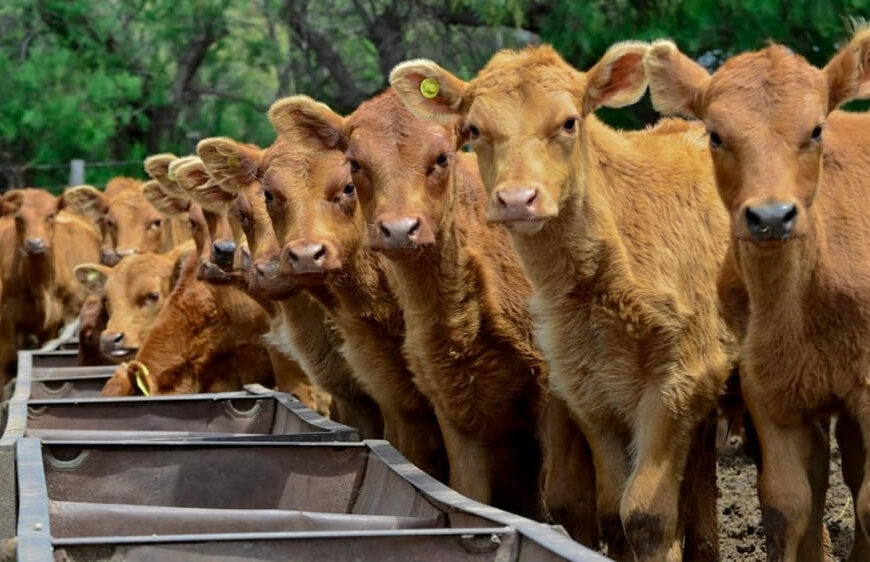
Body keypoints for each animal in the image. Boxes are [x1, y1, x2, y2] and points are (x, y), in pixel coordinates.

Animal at [0, 187, 102, 376]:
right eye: (19, 218)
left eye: (50, 215)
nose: (35, 243)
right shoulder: (6, 318)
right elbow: (7, 359)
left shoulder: (52, 324)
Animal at [394, 41, 736, 556]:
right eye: (474, 129)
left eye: (570, 122)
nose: (518, 198)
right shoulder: (587, 391)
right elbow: (613, 511)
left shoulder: (681, 377)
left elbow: (646, 515)